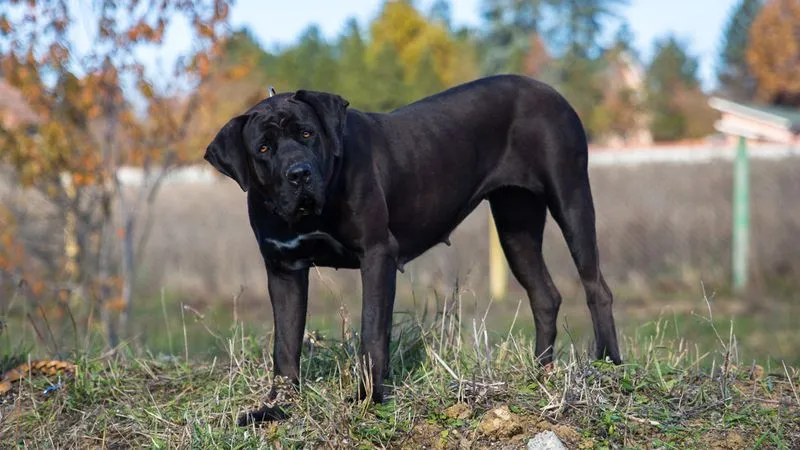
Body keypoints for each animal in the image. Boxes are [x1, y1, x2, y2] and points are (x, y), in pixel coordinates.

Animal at [203, 74, 620, 426]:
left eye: (307, 134)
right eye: (263, 148)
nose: (299, 174)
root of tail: (549, 90)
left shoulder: (377, 254)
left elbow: (373, 330)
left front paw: (368, 399)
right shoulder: (284, 268)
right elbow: (285, 345)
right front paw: (276, 407)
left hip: (571, 197)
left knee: (596, 287)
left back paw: (608, 367)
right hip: (516, 225)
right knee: (544, 295)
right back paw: (539, 375)